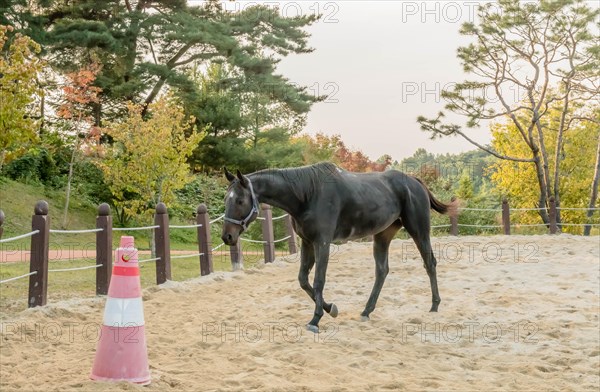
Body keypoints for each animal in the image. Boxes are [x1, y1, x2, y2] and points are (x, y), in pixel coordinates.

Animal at [221, 162, 454, 330]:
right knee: (382, 270)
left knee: (429, 263)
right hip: (383, 235)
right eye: (226, 199)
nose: (227, 236)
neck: (307, 194)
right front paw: (330, 308)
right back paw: (366, 311)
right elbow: (303, 280)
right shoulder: (307, 242)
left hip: (418, 230)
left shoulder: (322, 243)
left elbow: (318, 281)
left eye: (240, 201)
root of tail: (414, 181)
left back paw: (434, 306)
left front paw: (315, 320)